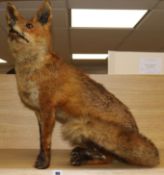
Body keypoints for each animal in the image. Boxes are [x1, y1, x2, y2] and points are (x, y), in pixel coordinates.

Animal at [6, 0, 159, 170]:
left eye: (29, 25)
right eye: (11, 22)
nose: (11, 25)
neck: (31, 69)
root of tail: (135, 128)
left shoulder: (48, 108)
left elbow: (46, 142)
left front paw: (44, 164)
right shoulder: (38, 112)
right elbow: (40, 141)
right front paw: (41, 159)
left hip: (80, 125)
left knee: (108, 158)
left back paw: (83, 158)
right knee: (106, 156)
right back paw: (82, 155)